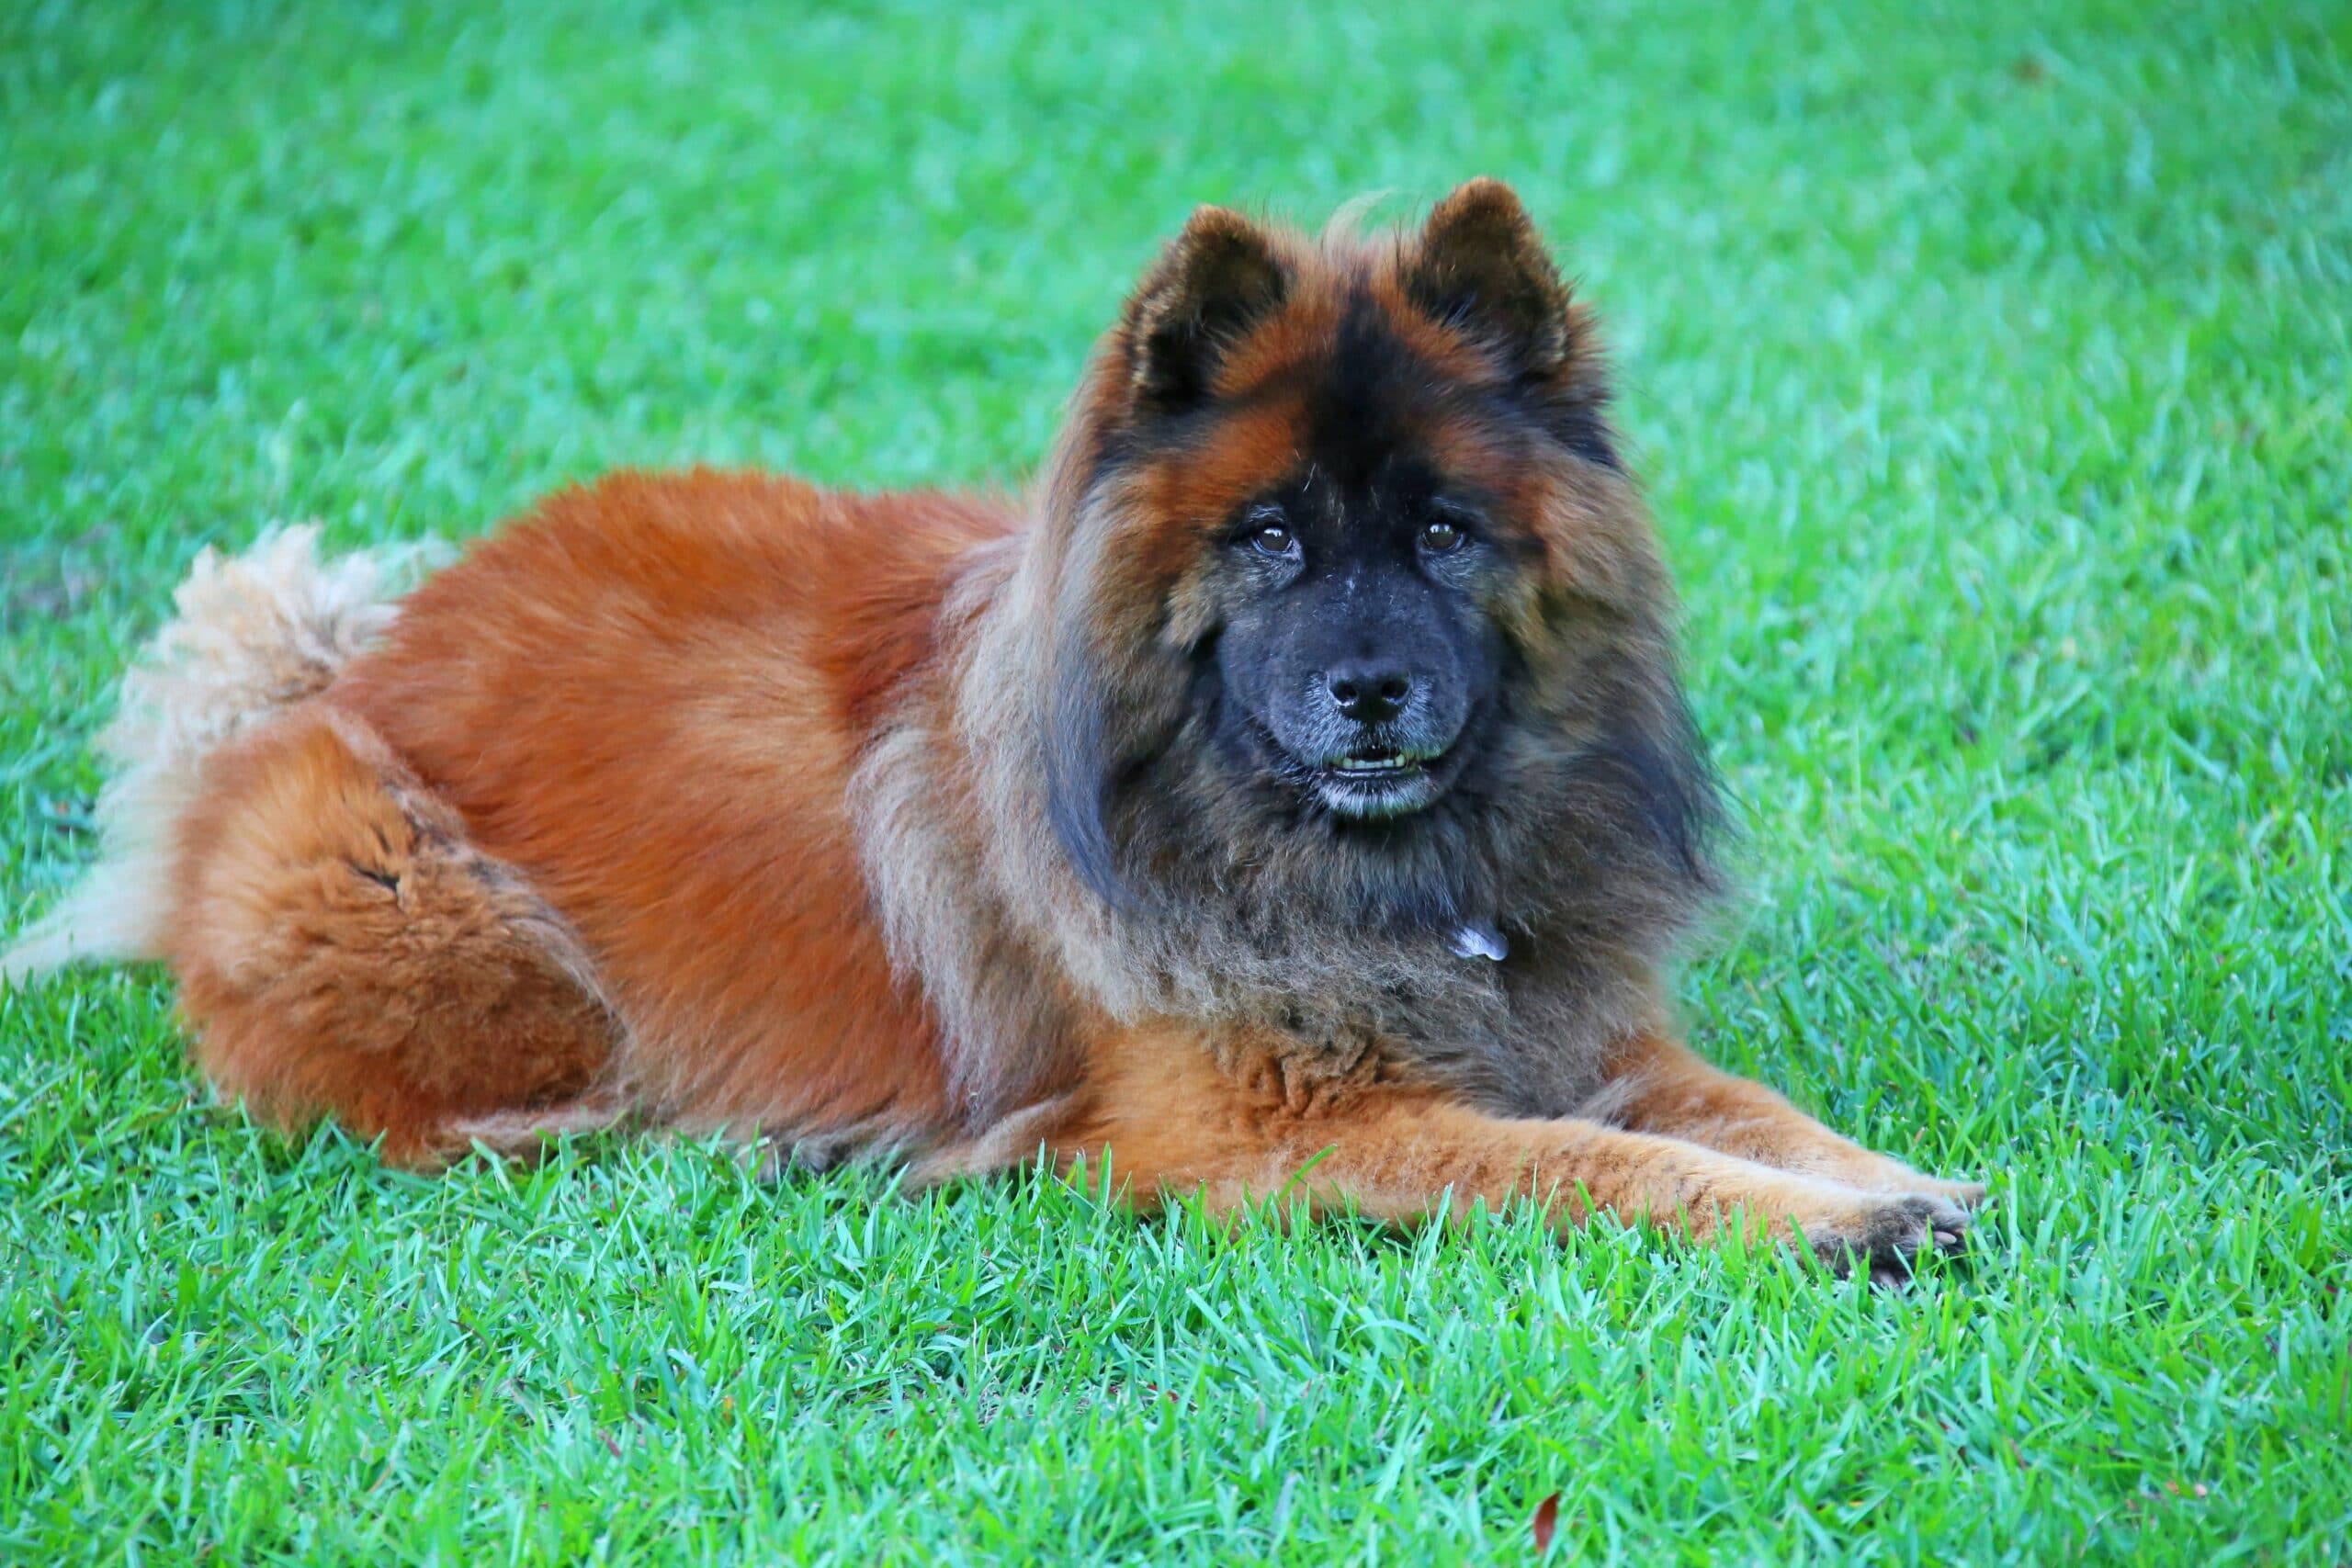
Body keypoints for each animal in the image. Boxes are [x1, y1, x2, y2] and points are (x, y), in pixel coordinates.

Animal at [5, 181, 1984, 1279]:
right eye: (1269, 540)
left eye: (1438, 533)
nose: (1371, 690)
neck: (1363, 870)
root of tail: (338, 674)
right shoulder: (1265, 1135)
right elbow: (1599, 1166)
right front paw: (1824, 1226)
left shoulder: (1579, 1023)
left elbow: (1746, 1111)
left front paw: (1892, 1185)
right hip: (427, 918)